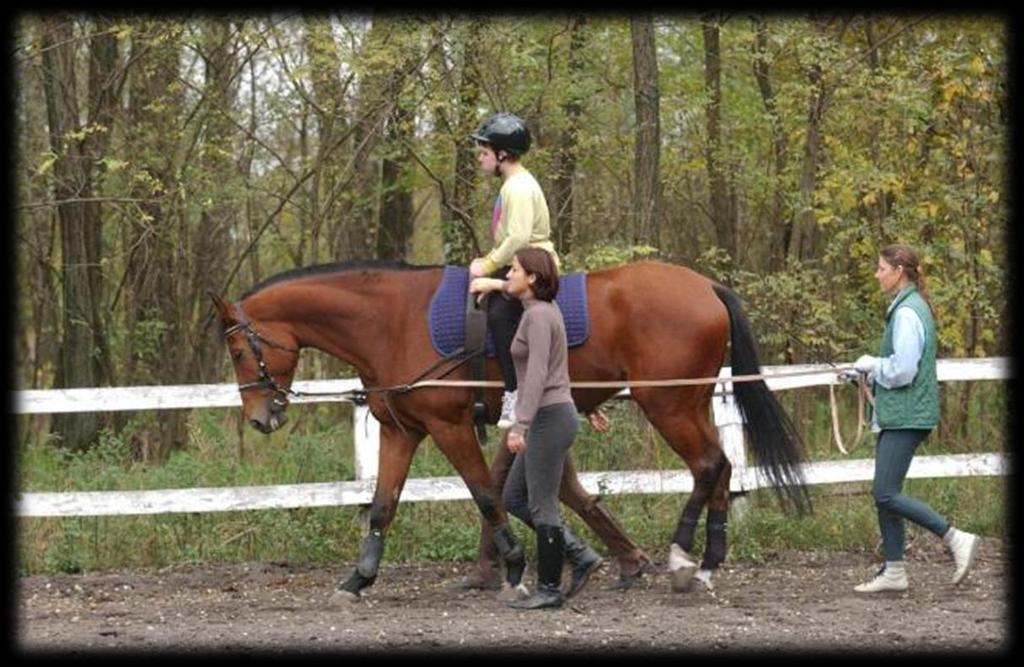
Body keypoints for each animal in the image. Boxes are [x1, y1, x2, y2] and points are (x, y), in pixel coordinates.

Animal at [211, 258, 811, 598]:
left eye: (239, 351)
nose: (261, 417)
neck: (391, 320)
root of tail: (706, 286)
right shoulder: (401, 430)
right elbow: (382, 506)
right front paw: (358, 580)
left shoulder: (449, 426)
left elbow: (484, 494)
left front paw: (517, 565)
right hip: (690, 402)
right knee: (722, 467)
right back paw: (707, 561)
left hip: (668, 405)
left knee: (708, 465)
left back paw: (682, 555)